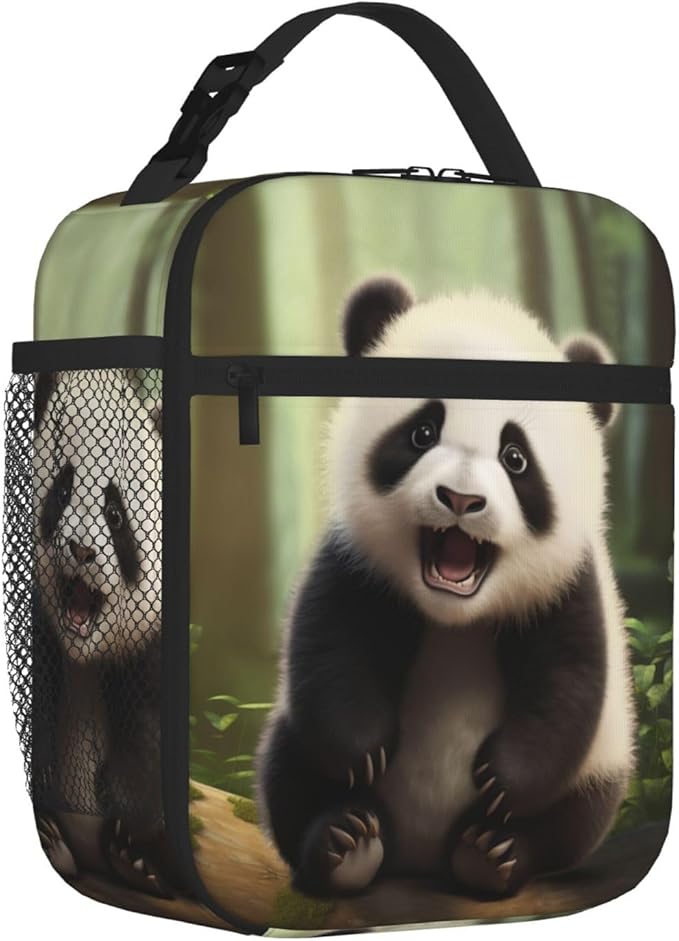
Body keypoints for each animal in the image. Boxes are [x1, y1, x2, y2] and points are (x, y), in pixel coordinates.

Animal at [32, 368, 172, 897]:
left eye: (115, 514)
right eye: (62, 492)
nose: (81, 550)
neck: (86, 653)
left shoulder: (154, 636)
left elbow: (150, 722)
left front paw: (131, 837)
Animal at [256, 278, 635, 899]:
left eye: (515, 457)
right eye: (421, 432)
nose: (461, 499)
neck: (455, 615)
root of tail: (418, 857)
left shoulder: (567, 583)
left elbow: (569, 681)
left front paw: (503, 779)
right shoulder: (355, 559)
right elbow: (329, 644)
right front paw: (365, 748)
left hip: (602, 764)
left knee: (575, 819)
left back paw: (491, 853)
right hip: (294, 741)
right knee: (288, 775)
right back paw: (345, 843)